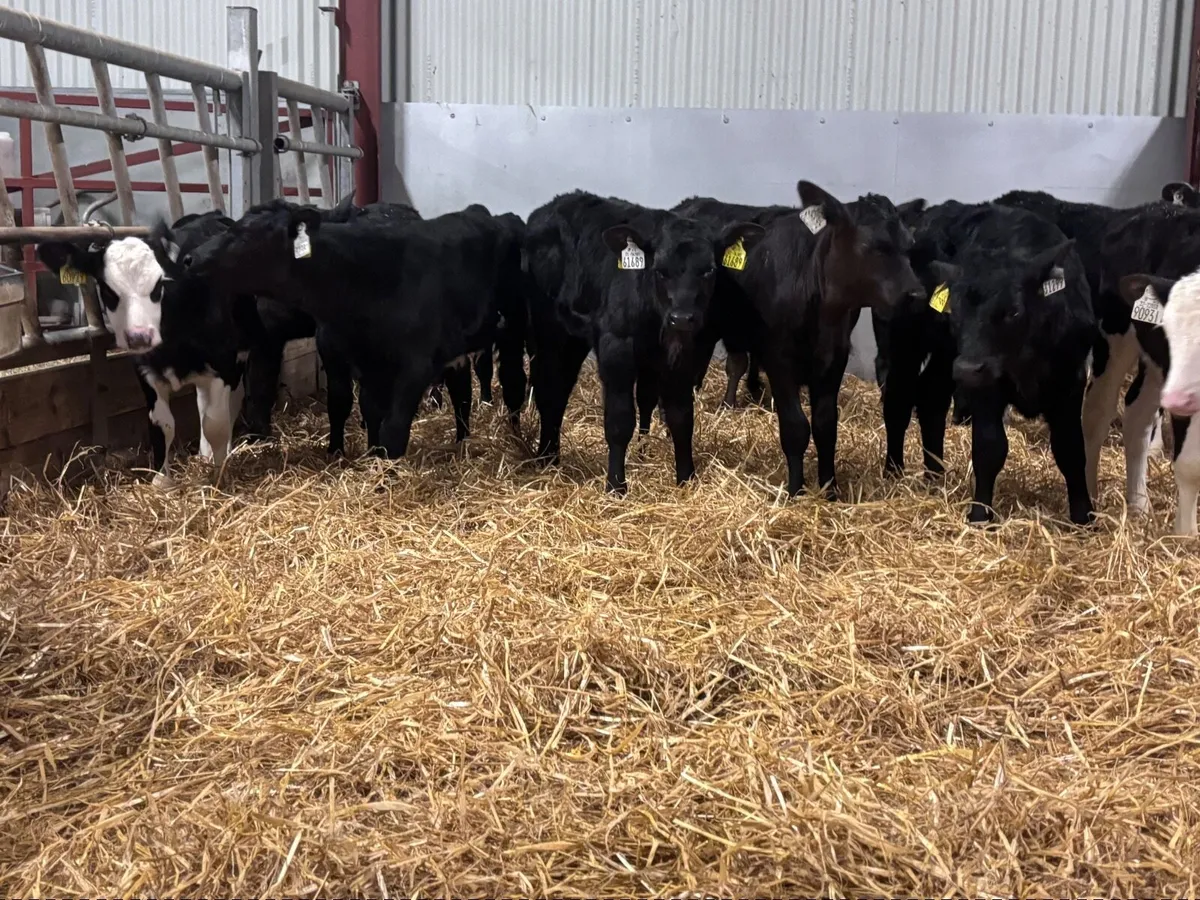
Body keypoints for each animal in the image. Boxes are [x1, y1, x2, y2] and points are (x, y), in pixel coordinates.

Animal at [36, 211, 256, 487]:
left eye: (158, 285)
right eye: (107, 289)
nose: (139, 336)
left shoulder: (223, 363)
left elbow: (215, 423)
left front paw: (219, 476)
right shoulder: (145, 369)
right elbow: (162, 425)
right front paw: (162, 482)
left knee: (230, 405)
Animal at [183, 199, 527, 459]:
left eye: (249, 234)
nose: (189, 258)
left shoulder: (415, 364)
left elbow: (394, 427)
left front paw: (386, 474)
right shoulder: (358, 357)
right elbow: (362, 408)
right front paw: (364, 456)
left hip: (512, 332)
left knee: (512, 384)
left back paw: (516, 439)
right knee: (462, 389)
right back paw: (462, 442)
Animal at [523, 190, 764, 493]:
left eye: (709, 270)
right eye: (660, 270)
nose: (682, 318)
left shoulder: (683, 357)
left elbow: (681, 418)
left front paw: (686, 479)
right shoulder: (617, 349)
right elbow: (620, 421)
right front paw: (616, 486)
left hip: (573, 340)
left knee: (560, 390)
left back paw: (552, 457)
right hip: (549, 332)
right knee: (548, 389)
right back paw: (545, 457)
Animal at [882, 200, 1097, 525]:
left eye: (1014, 311)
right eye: (955, 308)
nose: (968, 368)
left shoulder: (1070, 382)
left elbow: (1070, 449)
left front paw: (1083, 517)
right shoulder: (986, 386)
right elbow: (989, 447)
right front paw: (980, 514)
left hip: (945, 358)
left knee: (931, 403)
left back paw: (935, 475)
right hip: (906, 344)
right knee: (897, 401)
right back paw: (893, 472)